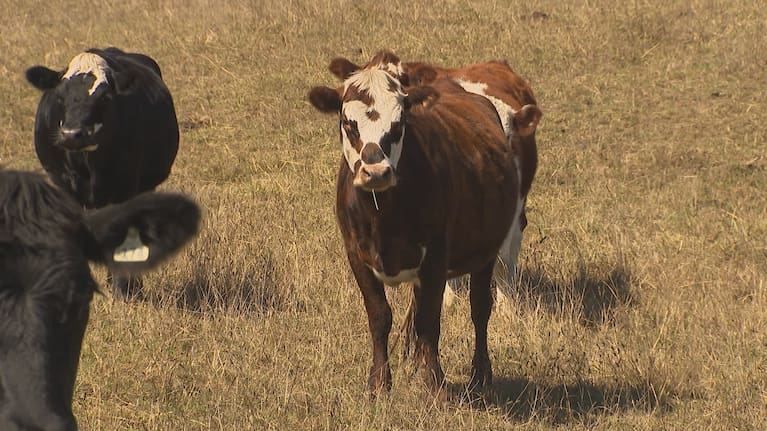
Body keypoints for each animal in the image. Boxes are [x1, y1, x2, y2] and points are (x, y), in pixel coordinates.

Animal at [25, 47, 180, 299]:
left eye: (105, 97)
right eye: (60, 97)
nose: (72, 134)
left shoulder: (124, 189)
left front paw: (124, 291)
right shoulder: (64, 186)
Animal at [308, 51, 518, 396]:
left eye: (398, 124)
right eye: (348, 124)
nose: (376, 172)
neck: (382, 215)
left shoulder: (435, 257)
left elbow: (430, 321)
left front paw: (434, 384)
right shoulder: (357, 256)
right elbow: (380, 316)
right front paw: (380, 383)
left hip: (486, 253)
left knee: (479, 309)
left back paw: (479, 374)